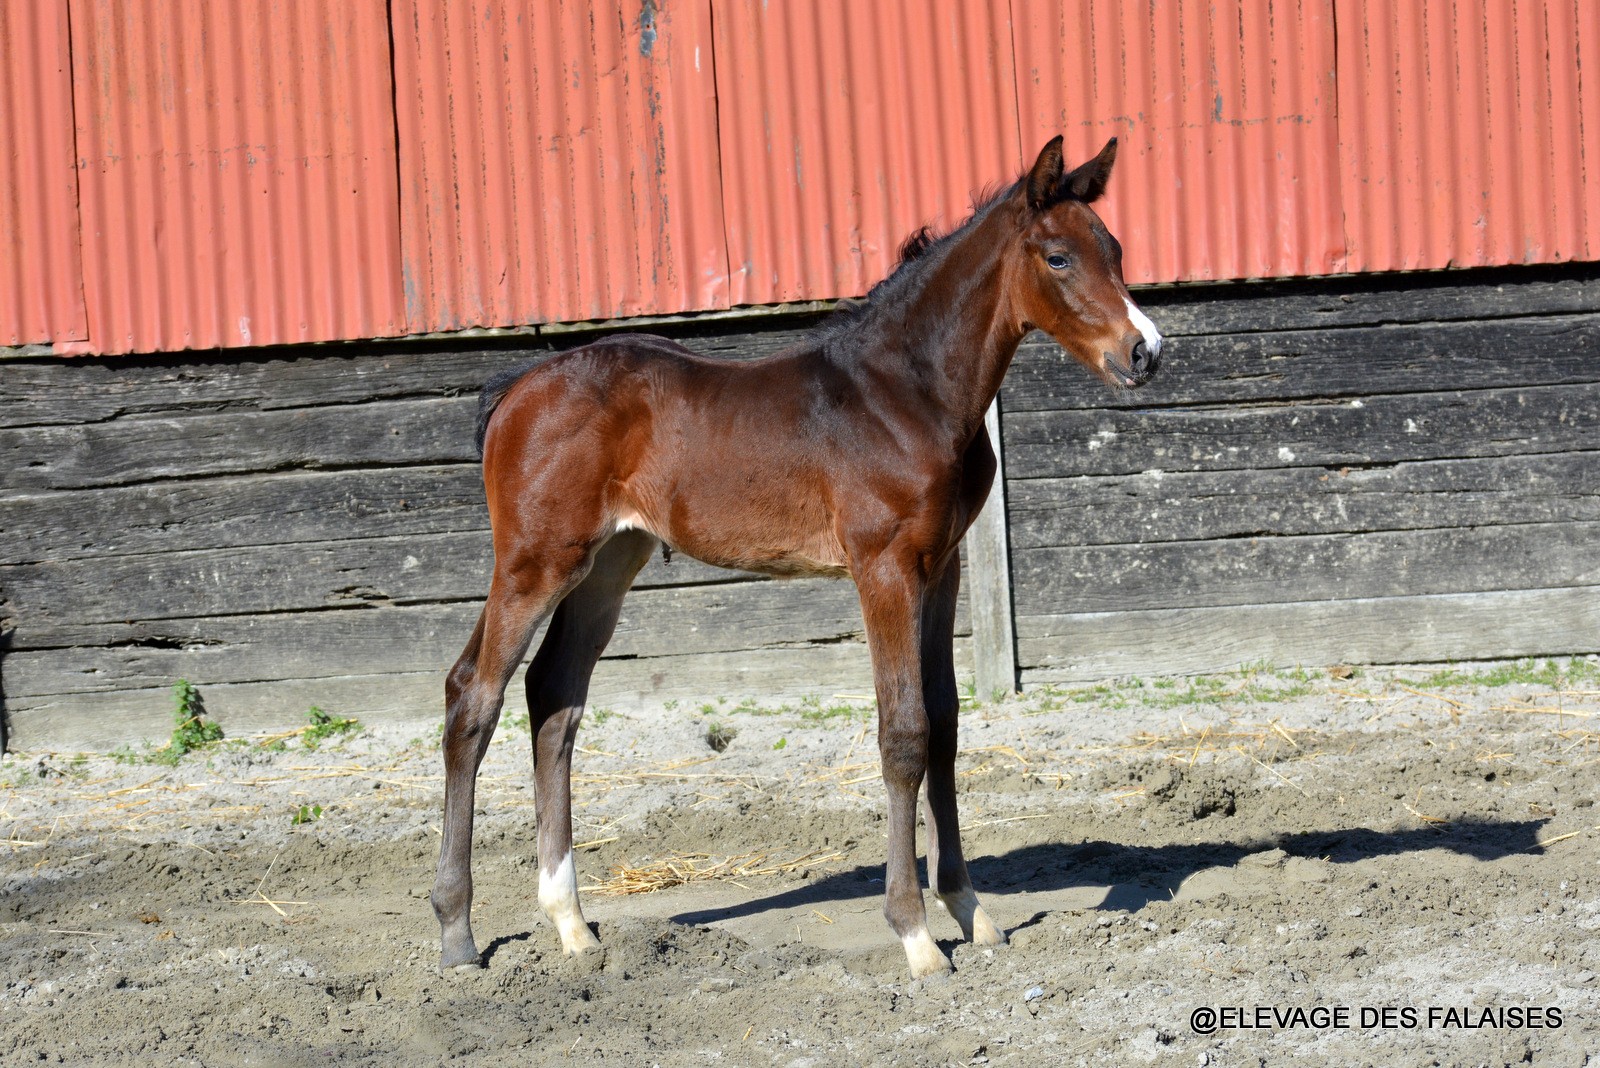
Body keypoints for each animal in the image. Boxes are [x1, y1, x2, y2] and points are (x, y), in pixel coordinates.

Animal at [435, 137, 1164, 978]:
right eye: (1058, 257)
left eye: (1116, 250)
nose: (1146, 352)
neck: (907, 391)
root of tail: (518, 387)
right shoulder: (883, 567)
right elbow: (904, 733)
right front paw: (916, 936)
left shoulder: (942, 566)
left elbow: (946, 724)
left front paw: (971, 911)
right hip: (536, 561)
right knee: (473, 695)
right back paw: (457, 933)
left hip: (610, 561)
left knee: (554, 697)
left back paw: (573, 924)